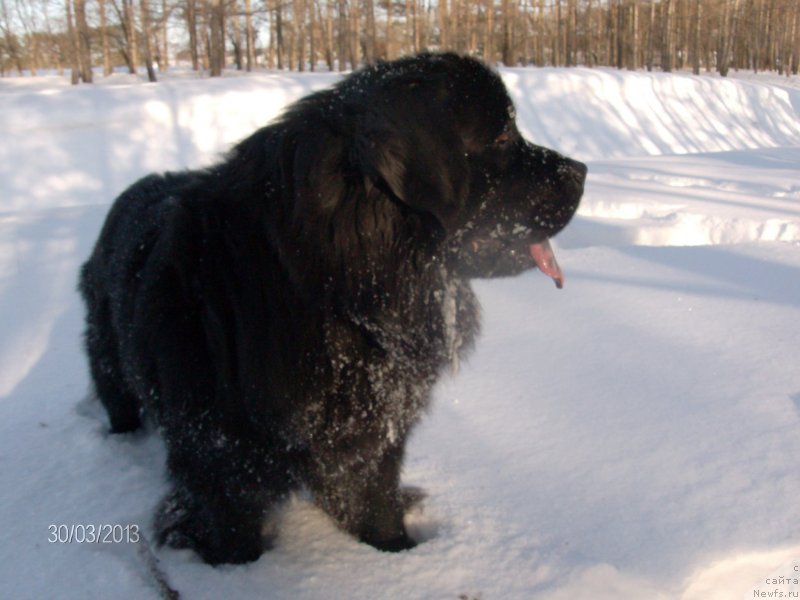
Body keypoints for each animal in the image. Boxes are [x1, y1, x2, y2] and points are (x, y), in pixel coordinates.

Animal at [79, 52, 580, 568]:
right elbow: (233, 534)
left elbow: (377, 502)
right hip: (108, 357)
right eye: (500, 138)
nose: (581, 171)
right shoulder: (217, 458)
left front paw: (397, 556)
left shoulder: (376, 434)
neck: (332, 289)